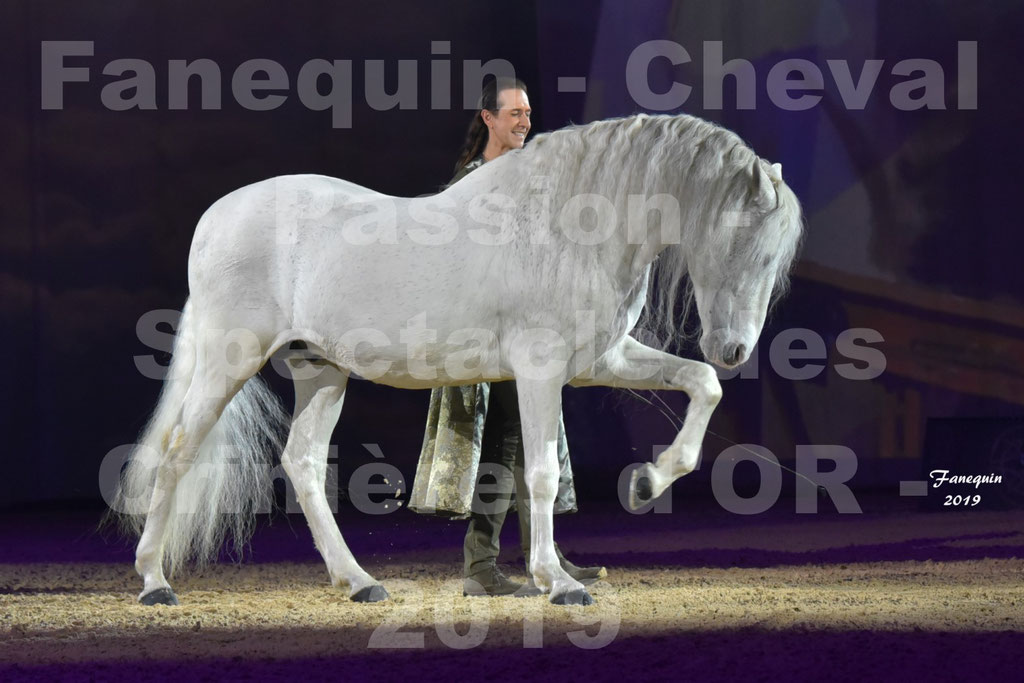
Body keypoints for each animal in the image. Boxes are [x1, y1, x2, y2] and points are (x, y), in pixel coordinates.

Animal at [110, 113, 798, 610]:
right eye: (748, 246)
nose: (734, 350)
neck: (571, 222)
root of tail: (215, 218)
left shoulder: (599, 359)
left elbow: (700, 385)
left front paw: (648, 481)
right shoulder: (541, 369)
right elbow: (541, 475)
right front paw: (559, 583)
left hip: (321, 369)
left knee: (301, 461)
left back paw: (359, 582)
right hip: (230, 359)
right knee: (177, 450)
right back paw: (155, 583)